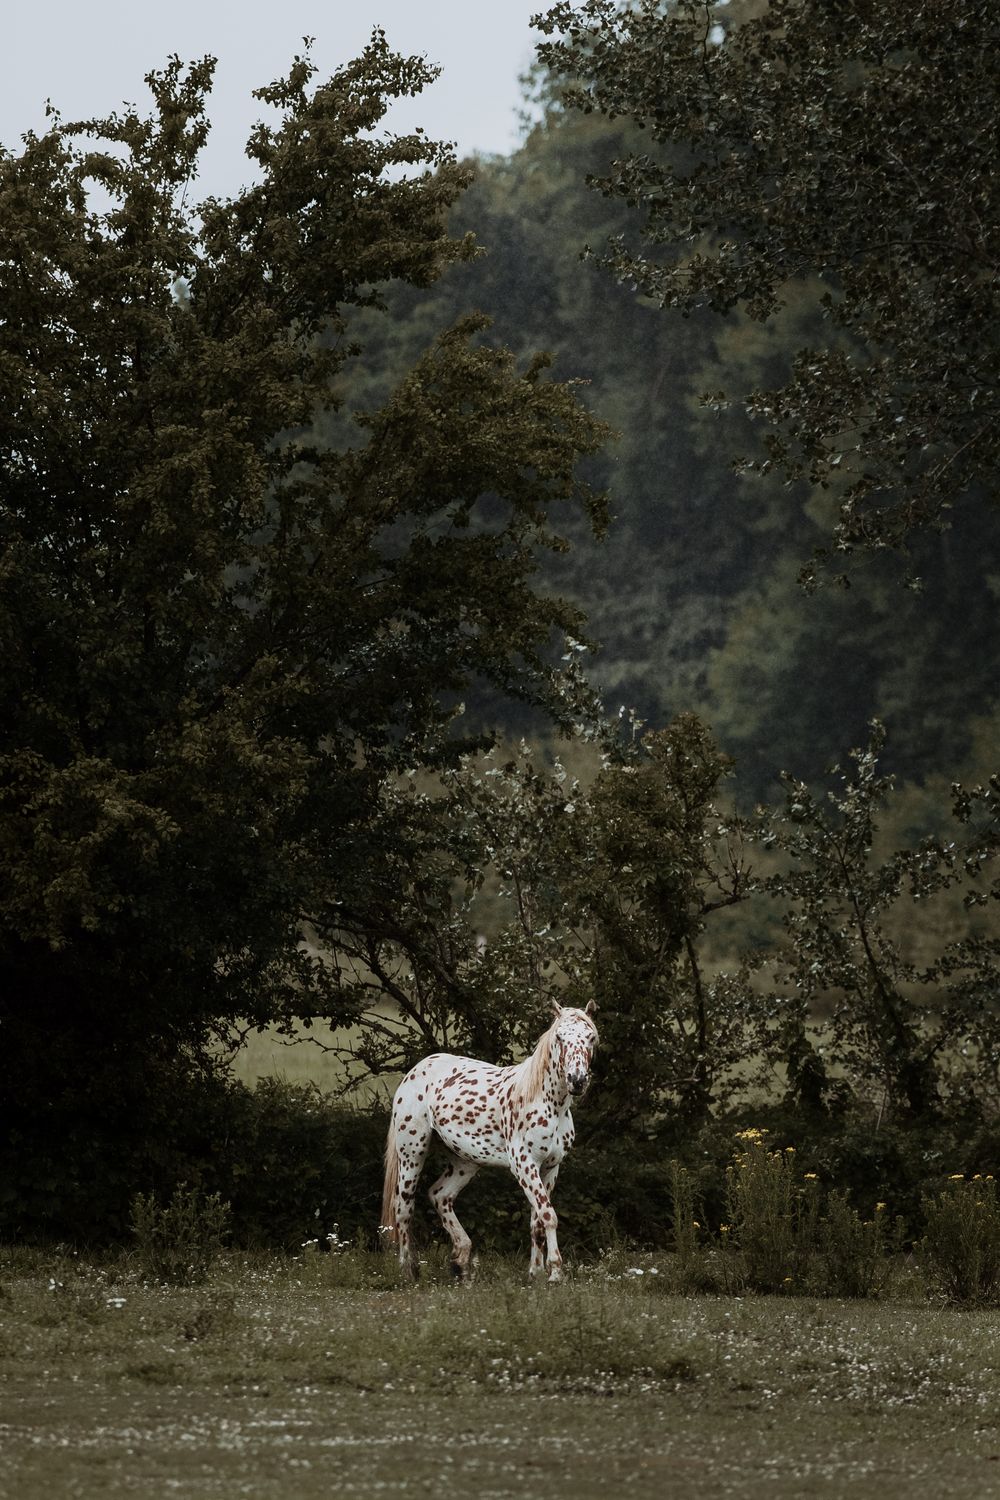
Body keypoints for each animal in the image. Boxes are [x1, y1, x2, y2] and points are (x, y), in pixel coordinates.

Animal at [380, 1000, 598, 1283]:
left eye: (590, 1037)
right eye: (560, 1037)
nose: (577, 1080)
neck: (549, 1102)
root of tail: (415, 1071)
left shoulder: (550, 1168)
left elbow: (537, 1220)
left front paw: (536, 1273)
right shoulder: (524, 1165)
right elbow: (548, 1216)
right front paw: (555, 1272)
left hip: (464, 1162)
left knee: (440, 1195)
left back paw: (461, 1261)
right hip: (412, 1153)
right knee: (403, 1208)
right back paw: (409, 1270)